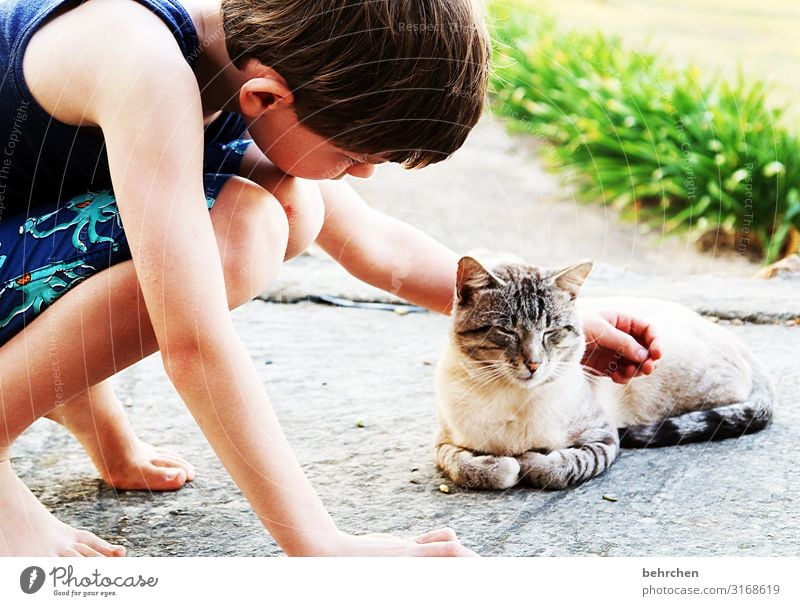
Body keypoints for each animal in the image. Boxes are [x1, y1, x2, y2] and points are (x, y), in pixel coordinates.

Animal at [434, 254, 780, 492]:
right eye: (507, 331)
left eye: (551, 332)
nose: (534, 363)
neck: (514, 399)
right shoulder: (444, 443)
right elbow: (469, 467)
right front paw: (502, 465)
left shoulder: (603, 439)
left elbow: (561, 467)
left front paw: (530, 460)